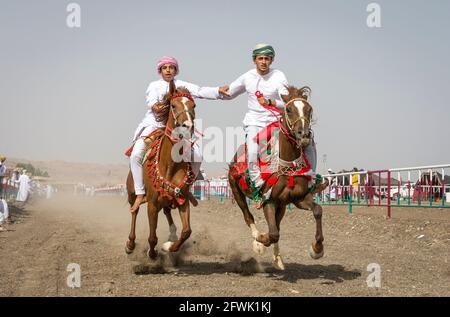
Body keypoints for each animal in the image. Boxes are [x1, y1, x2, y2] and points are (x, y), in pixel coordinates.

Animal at [125, 81, 198, 260]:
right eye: (173, 105)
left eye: (193, 105)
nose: (188, 126)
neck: (170, 165)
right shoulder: (152, 204)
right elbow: (152, 237)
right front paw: (152, 253)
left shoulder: (182, 198)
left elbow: (186, 231)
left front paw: (168, 246)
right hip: (132, 193)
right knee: (134, 211)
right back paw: (130, 244)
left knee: (166, 211)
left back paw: (171, 234)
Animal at [229, 86, 330, 270]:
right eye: (288, 109)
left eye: (309, 109)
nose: (304, 135)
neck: (287, 165)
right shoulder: (268, 200)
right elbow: (273, 233)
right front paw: (261, 240)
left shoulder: (298, 198)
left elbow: (317, 210)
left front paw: (317, 249)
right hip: (236, 190)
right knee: (248, 216)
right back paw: (258, 242)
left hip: (282, 206)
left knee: (277, 224)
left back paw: (278, 258)